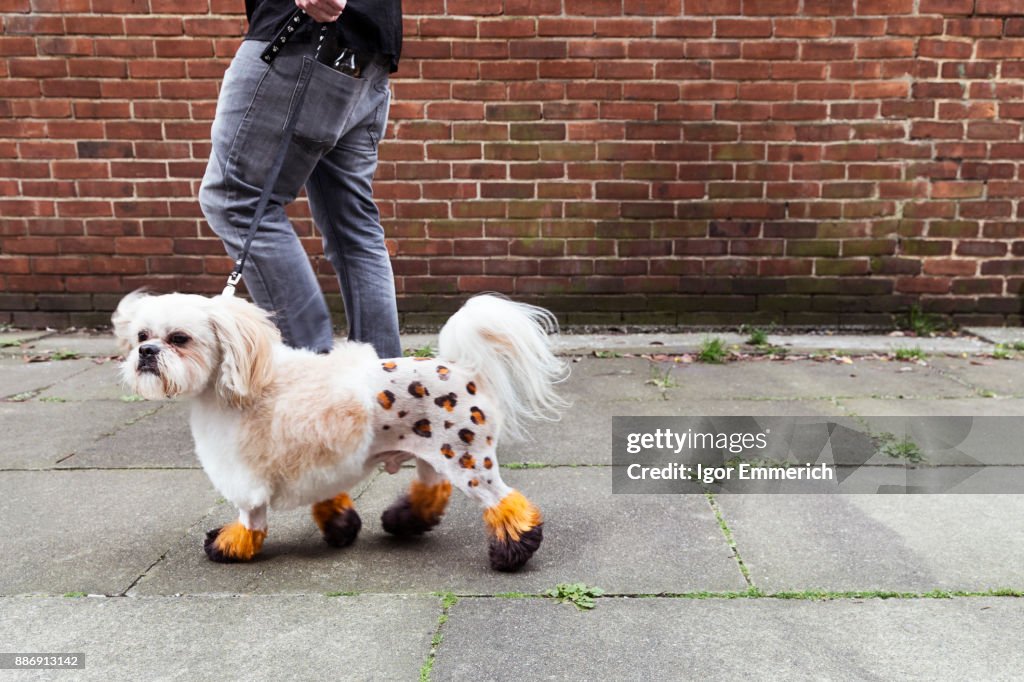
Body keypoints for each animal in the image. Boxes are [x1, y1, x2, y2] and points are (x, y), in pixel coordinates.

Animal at [112, 290, 569, 569]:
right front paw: (340, 527)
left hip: (467, 460)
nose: (146, 351)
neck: (240, 383)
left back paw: (512, 553)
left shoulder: (247, 475)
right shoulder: (319, 463)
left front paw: (230, 545)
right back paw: (404, 521)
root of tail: (465, 368)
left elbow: (250, 517)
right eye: (141, 335)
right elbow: (328, 498)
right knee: (433, 488)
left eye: (180, 338)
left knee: (503, 502)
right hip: (434, 454)